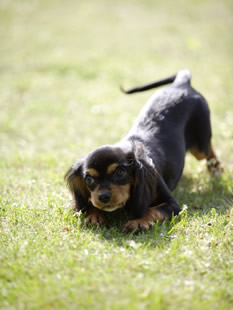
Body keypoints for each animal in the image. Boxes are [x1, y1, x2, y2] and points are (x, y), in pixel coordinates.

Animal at [65, 69, 222, 231]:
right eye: (89, 179)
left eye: (120, 172)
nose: (103, 196)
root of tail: (181, 83)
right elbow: (89, 202)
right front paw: (94, 216)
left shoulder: (172, 205)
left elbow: (152, 210)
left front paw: (138, 222)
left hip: (200, 146)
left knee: (209, 152)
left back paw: (216, 170)